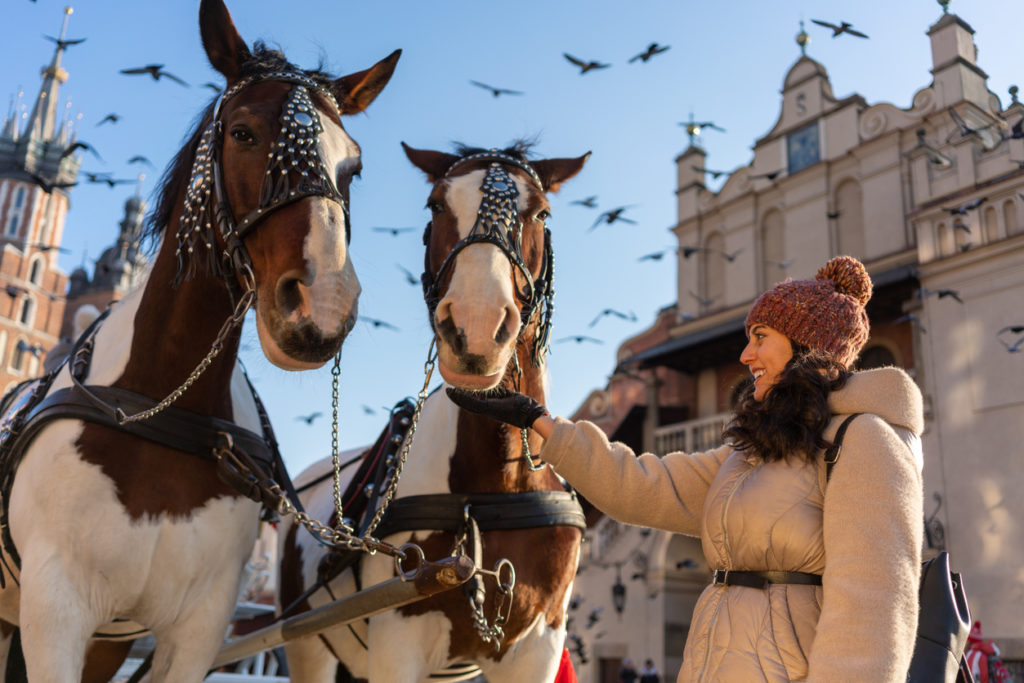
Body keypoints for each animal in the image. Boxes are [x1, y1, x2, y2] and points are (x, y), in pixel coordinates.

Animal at [0, 2, 397, 679]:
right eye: (242, 132)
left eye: (354, 165)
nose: (323, 304)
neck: (161, 404)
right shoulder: (55, 612)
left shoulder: (194, 631)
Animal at [276, 141, 589, 679]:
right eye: (436, 205)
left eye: (541, 212)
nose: (476, 327)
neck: (494, 489)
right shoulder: (397, 643)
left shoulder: (540, 647)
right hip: (306, 646)